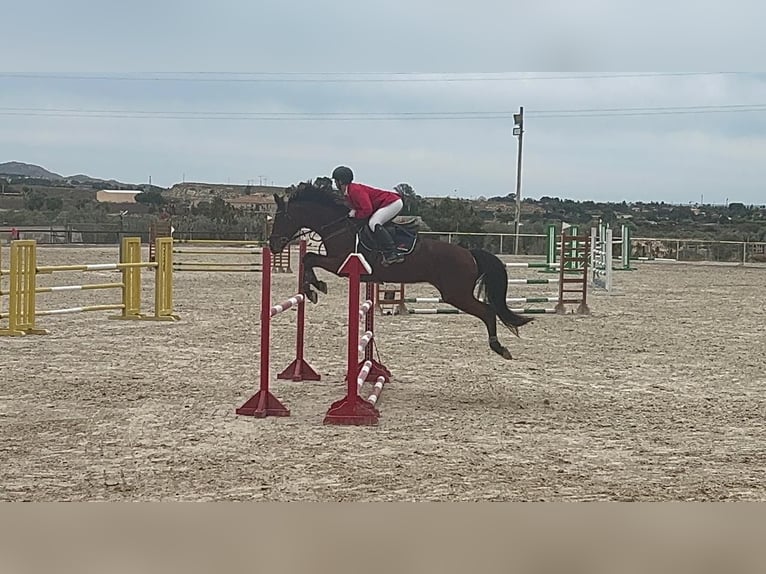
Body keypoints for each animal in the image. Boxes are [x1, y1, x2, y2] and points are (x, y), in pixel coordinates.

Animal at [270, 180, 536, 360]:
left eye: (281, 218)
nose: (272, 246)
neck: (337, 226)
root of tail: (469, 253)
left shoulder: (340, 263)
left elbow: (310, 258)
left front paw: (314, 288)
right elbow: (308, 259)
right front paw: (314, 288)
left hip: (456, 294)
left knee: (489, 311)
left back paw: (499, 348)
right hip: (456, 294)